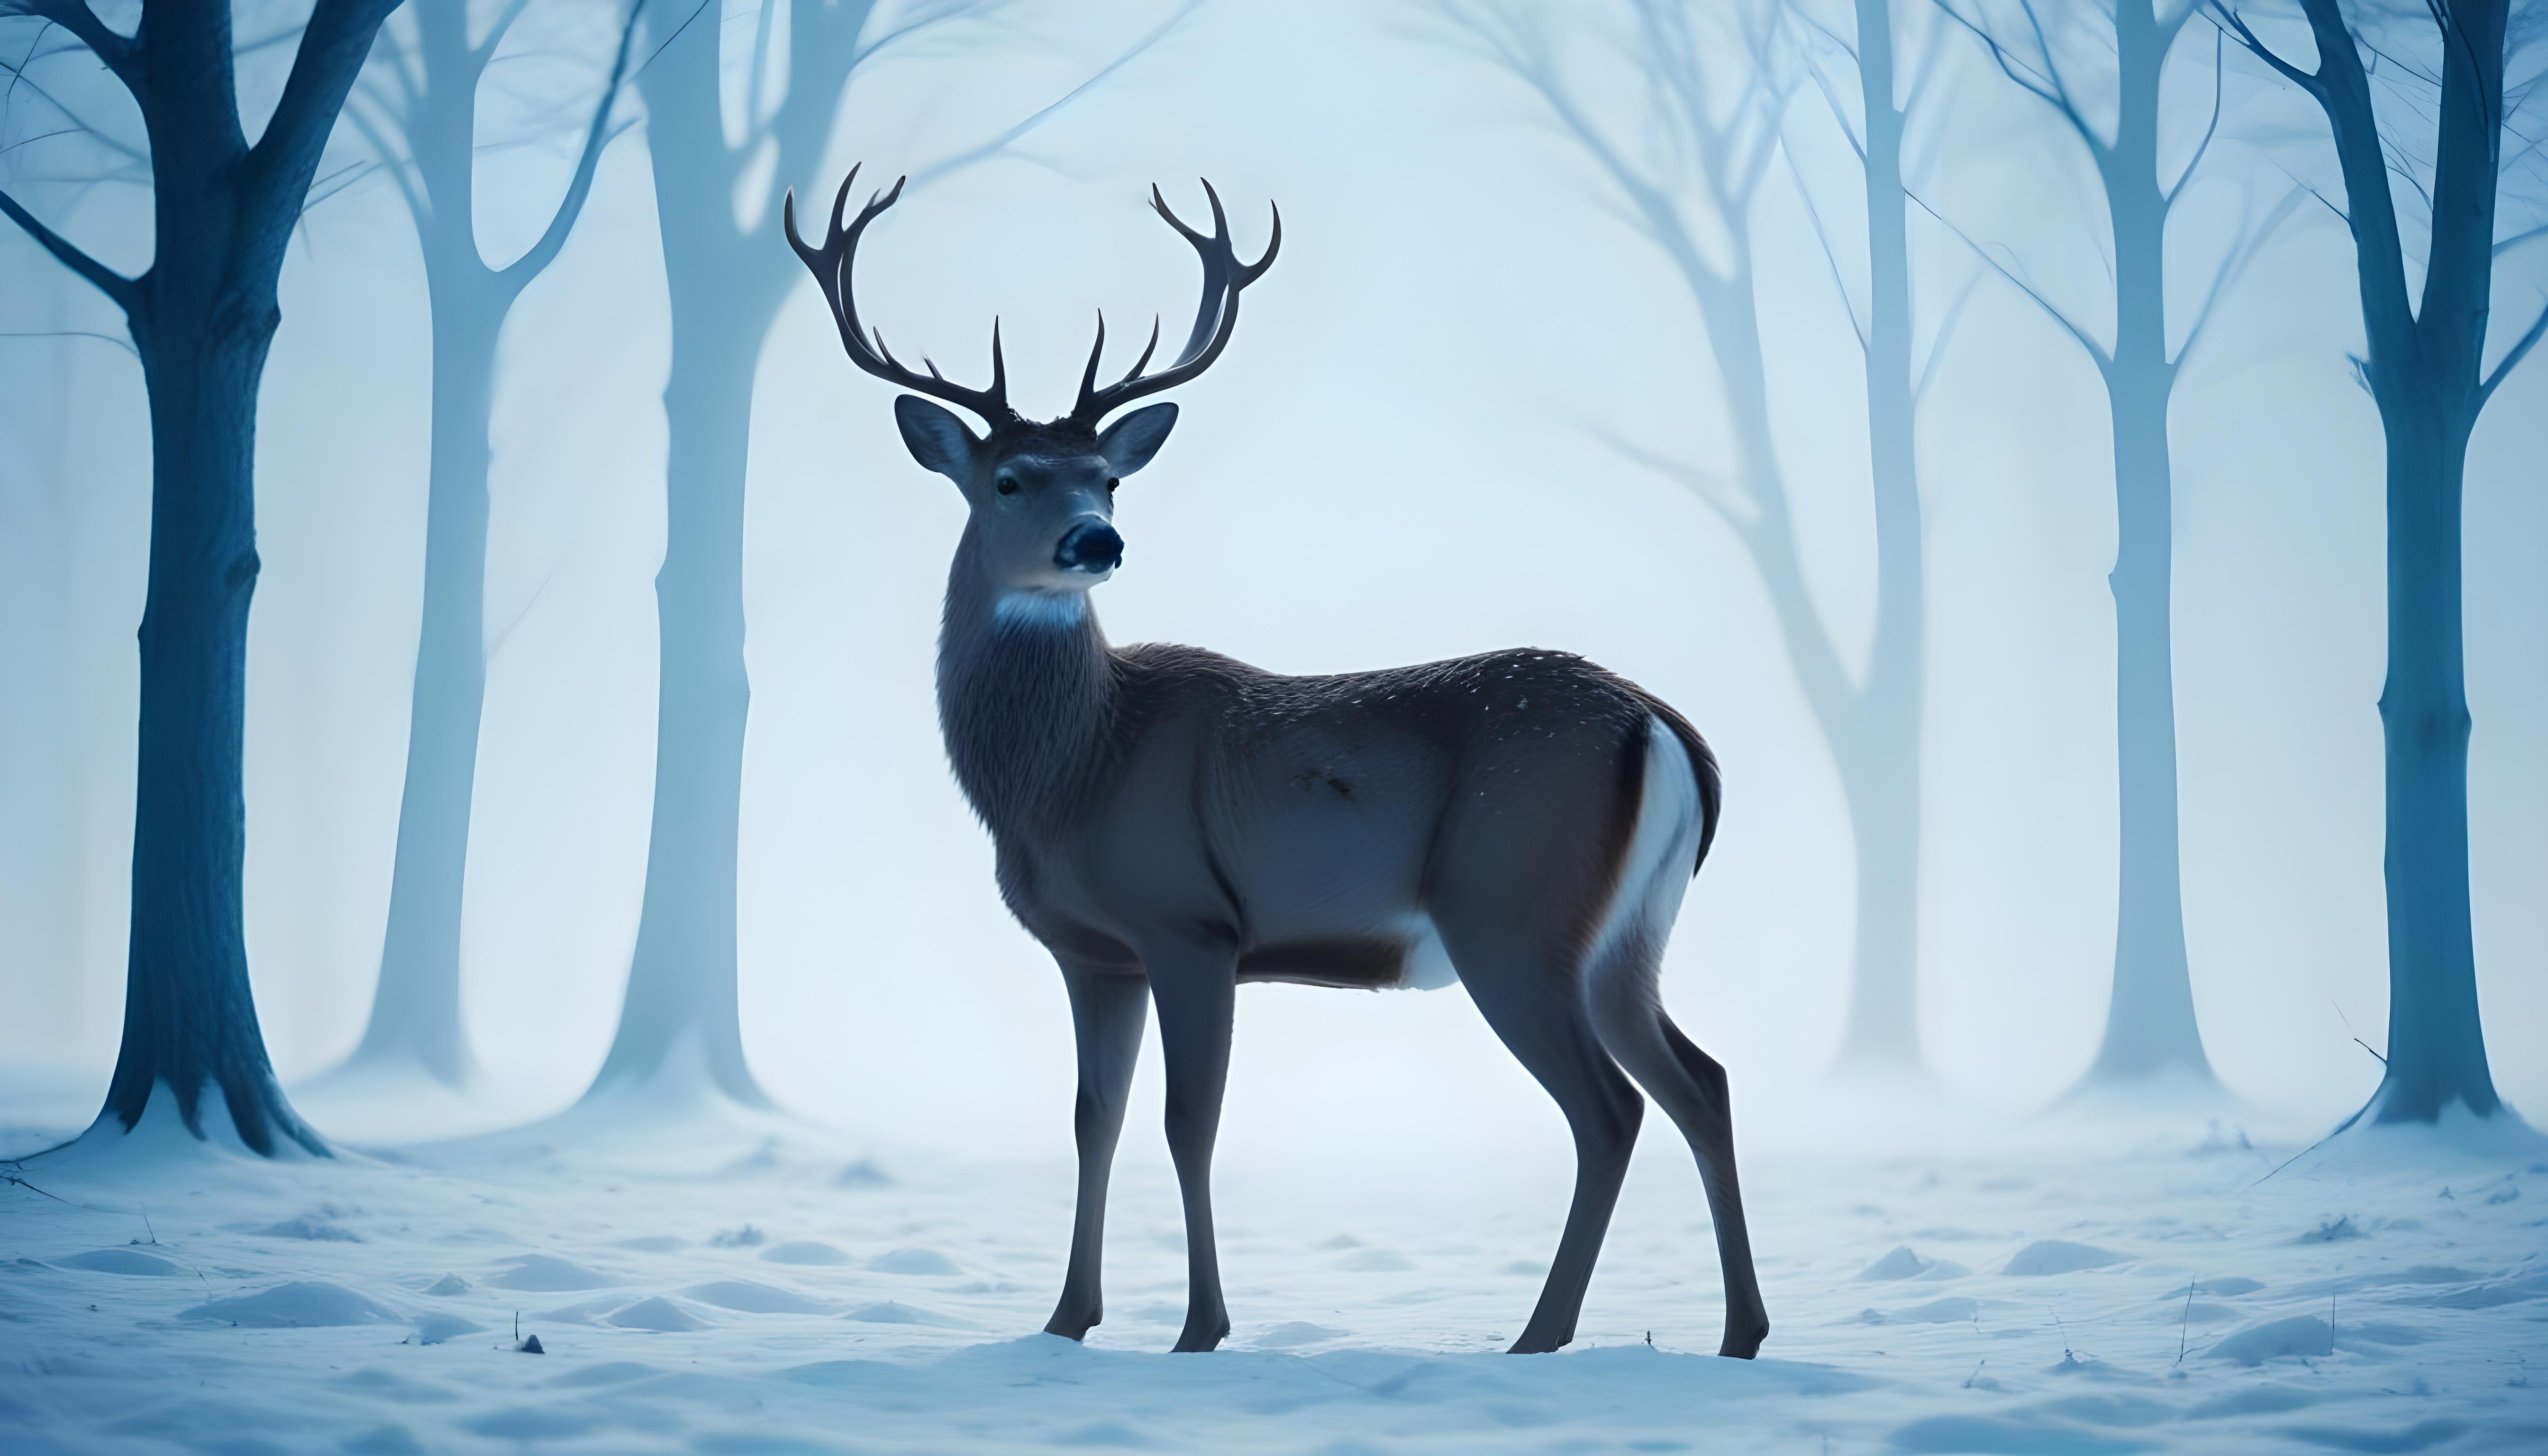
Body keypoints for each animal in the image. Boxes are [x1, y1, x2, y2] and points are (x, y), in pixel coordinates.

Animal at [784, 167, 1769, 1360]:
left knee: (1609, 1107)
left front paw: (1199, 1329)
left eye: (1107, 477)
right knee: (1702, 1080)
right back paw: (1739, 1332)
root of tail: (1660, 723)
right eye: (1011, 477)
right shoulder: (1094, 954)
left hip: (1511, 908)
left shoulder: (1190, 923)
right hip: (1625, 933)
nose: (1095, 540)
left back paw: (1539, 1336)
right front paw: (1066, 1320)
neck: (1072, 775)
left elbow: (1188, 1120)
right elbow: (1092, 1118)